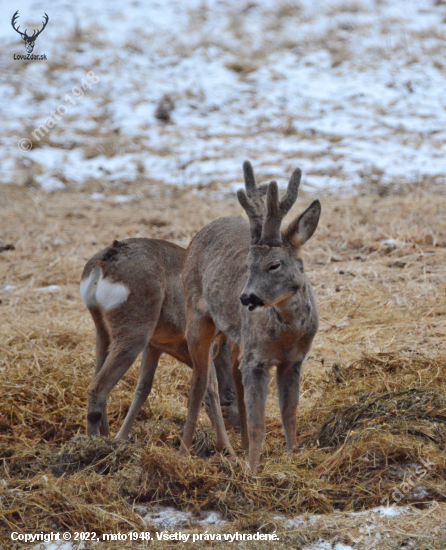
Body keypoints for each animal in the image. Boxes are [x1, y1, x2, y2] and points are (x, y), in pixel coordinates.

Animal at [80, 239, 240, 450]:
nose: (238, 427)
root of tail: (104, 261)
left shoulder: (155, 346)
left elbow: (143, 387)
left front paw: (121, 437)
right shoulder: (204, 346)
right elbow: (210, 387)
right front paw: (226, 448)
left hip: (103, 330)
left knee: (100, 380)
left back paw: (106, 437)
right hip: (134, 331)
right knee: (97, 388)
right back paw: (93, 446)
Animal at [181, 162, 320, 472]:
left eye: (274, 265)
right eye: (248, 265)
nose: (246, 298)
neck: (286, 336)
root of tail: (199, 234)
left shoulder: (293, 361)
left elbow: (289, 414)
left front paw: (292, 456)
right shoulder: (256, 360)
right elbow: (259, 423)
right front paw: (253, 471)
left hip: (235, 338)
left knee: (228, 374)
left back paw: (239, 446)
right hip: (196, 315)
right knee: (200, 383)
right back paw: (187, 450)